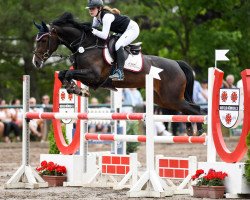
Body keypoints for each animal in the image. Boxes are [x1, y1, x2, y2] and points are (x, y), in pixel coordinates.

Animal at [32, 12, 205, 134]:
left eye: (43, 40)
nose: (36, 62)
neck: (86, 45)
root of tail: (177, 63)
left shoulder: (93, 76)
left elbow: (68, 74)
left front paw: (75, 89)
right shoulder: (86, 76)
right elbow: (63, 73)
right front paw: (75, 89)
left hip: (172, 97)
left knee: (196, 109)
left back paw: (201, 129)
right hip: (164, 99)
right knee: (187, 109)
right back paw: (191, 129)